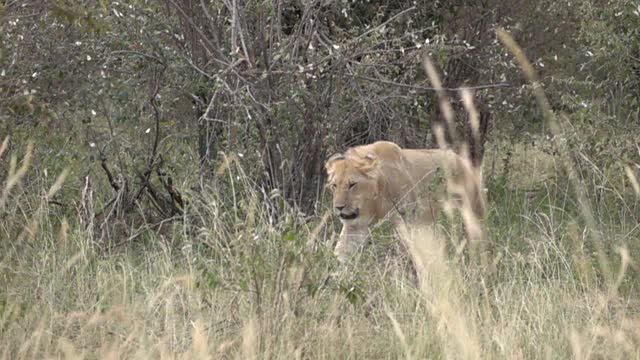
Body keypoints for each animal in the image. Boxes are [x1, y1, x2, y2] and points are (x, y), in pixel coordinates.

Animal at [324, 141, 484, 264]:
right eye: (334, 185)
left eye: (352, 185)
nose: (338, 207)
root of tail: (464, 162)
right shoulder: (354, 227)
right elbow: (341, 251)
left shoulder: (399, 221)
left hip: (470, 212)